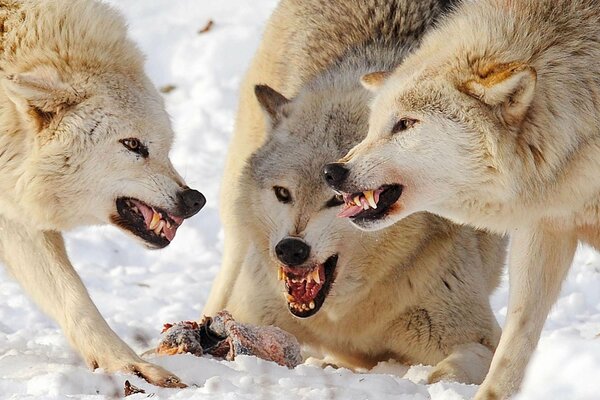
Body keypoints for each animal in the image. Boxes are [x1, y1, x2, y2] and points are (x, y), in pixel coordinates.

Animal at [0, 0, 205, 388]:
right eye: (132, 144)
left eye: (165, 145)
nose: (195, 200)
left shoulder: (15, 214)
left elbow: (74, 295)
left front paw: (130, 366)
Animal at [203, 0, 506, 384]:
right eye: (283, 193)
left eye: (338, 198)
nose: (290, 249)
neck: (347, 316)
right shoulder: (255, 314)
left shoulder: (479, 336)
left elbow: (450, 370)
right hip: (236, 224)